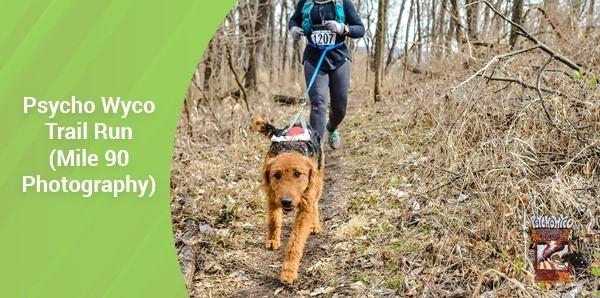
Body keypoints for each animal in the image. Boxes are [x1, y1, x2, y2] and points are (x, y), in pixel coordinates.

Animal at [252, 116, 324, 284]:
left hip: (317, 181)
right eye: (276, 175)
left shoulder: (305, 206)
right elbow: (274, 221)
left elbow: (295, 241)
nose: (286, 201)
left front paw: (288, 271)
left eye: (298, 173)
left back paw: (314, 225)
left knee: (315, 204)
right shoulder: (272, 197)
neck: (291, 147)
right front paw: (272, 240)